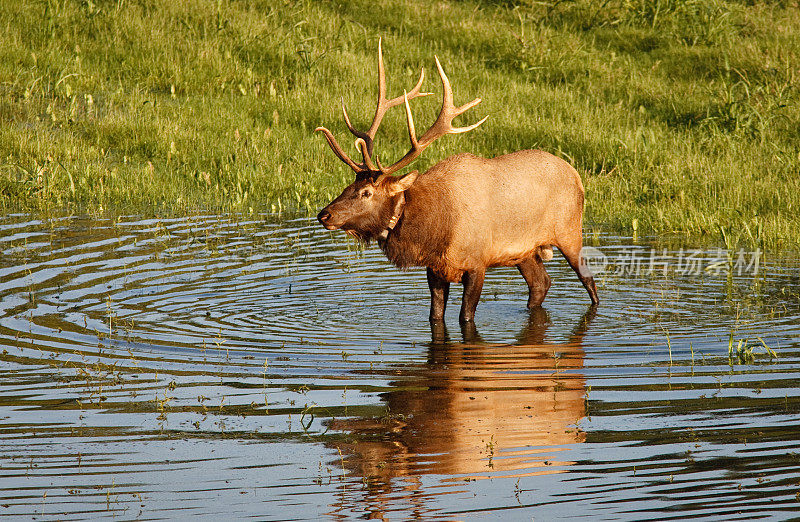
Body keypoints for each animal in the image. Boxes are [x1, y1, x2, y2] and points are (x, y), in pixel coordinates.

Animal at [316, 39, 596, 320]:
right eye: (350, 185)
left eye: (367, 193)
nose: (324, 214)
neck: (435, 230)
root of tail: (576, 175)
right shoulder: (435, 270)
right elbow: (435, 316)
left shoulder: (477, 264)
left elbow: (465, 317)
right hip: (524, 251)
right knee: (541, 283)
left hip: (570, 231)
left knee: (589, 281)